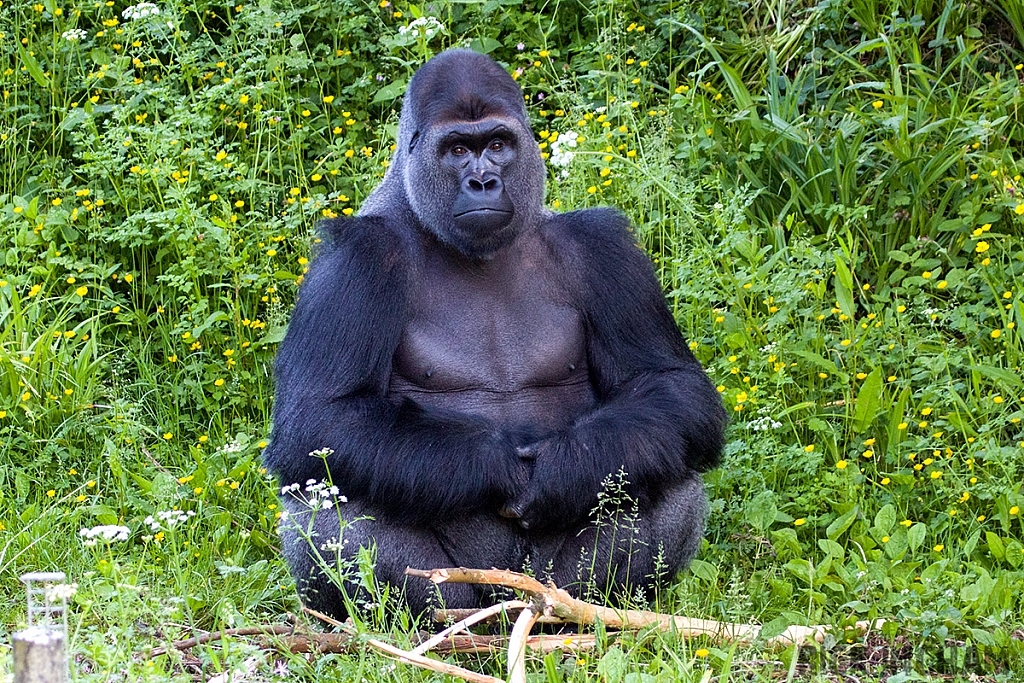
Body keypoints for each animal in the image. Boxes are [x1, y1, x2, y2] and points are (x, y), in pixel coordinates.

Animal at [264, 49, 729, 618]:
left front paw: (563, 468)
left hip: (550, 582)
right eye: (459, 149)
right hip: (462, 587)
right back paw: (426, 619)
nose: (483, 181)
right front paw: (498, 464)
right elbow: (318, 418)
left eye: (498, 145)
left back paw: (600, 607)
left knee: (662, 465)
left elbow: (671, 386)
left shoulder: (600, 248)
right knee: (325, 496)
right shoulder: (356, 259)